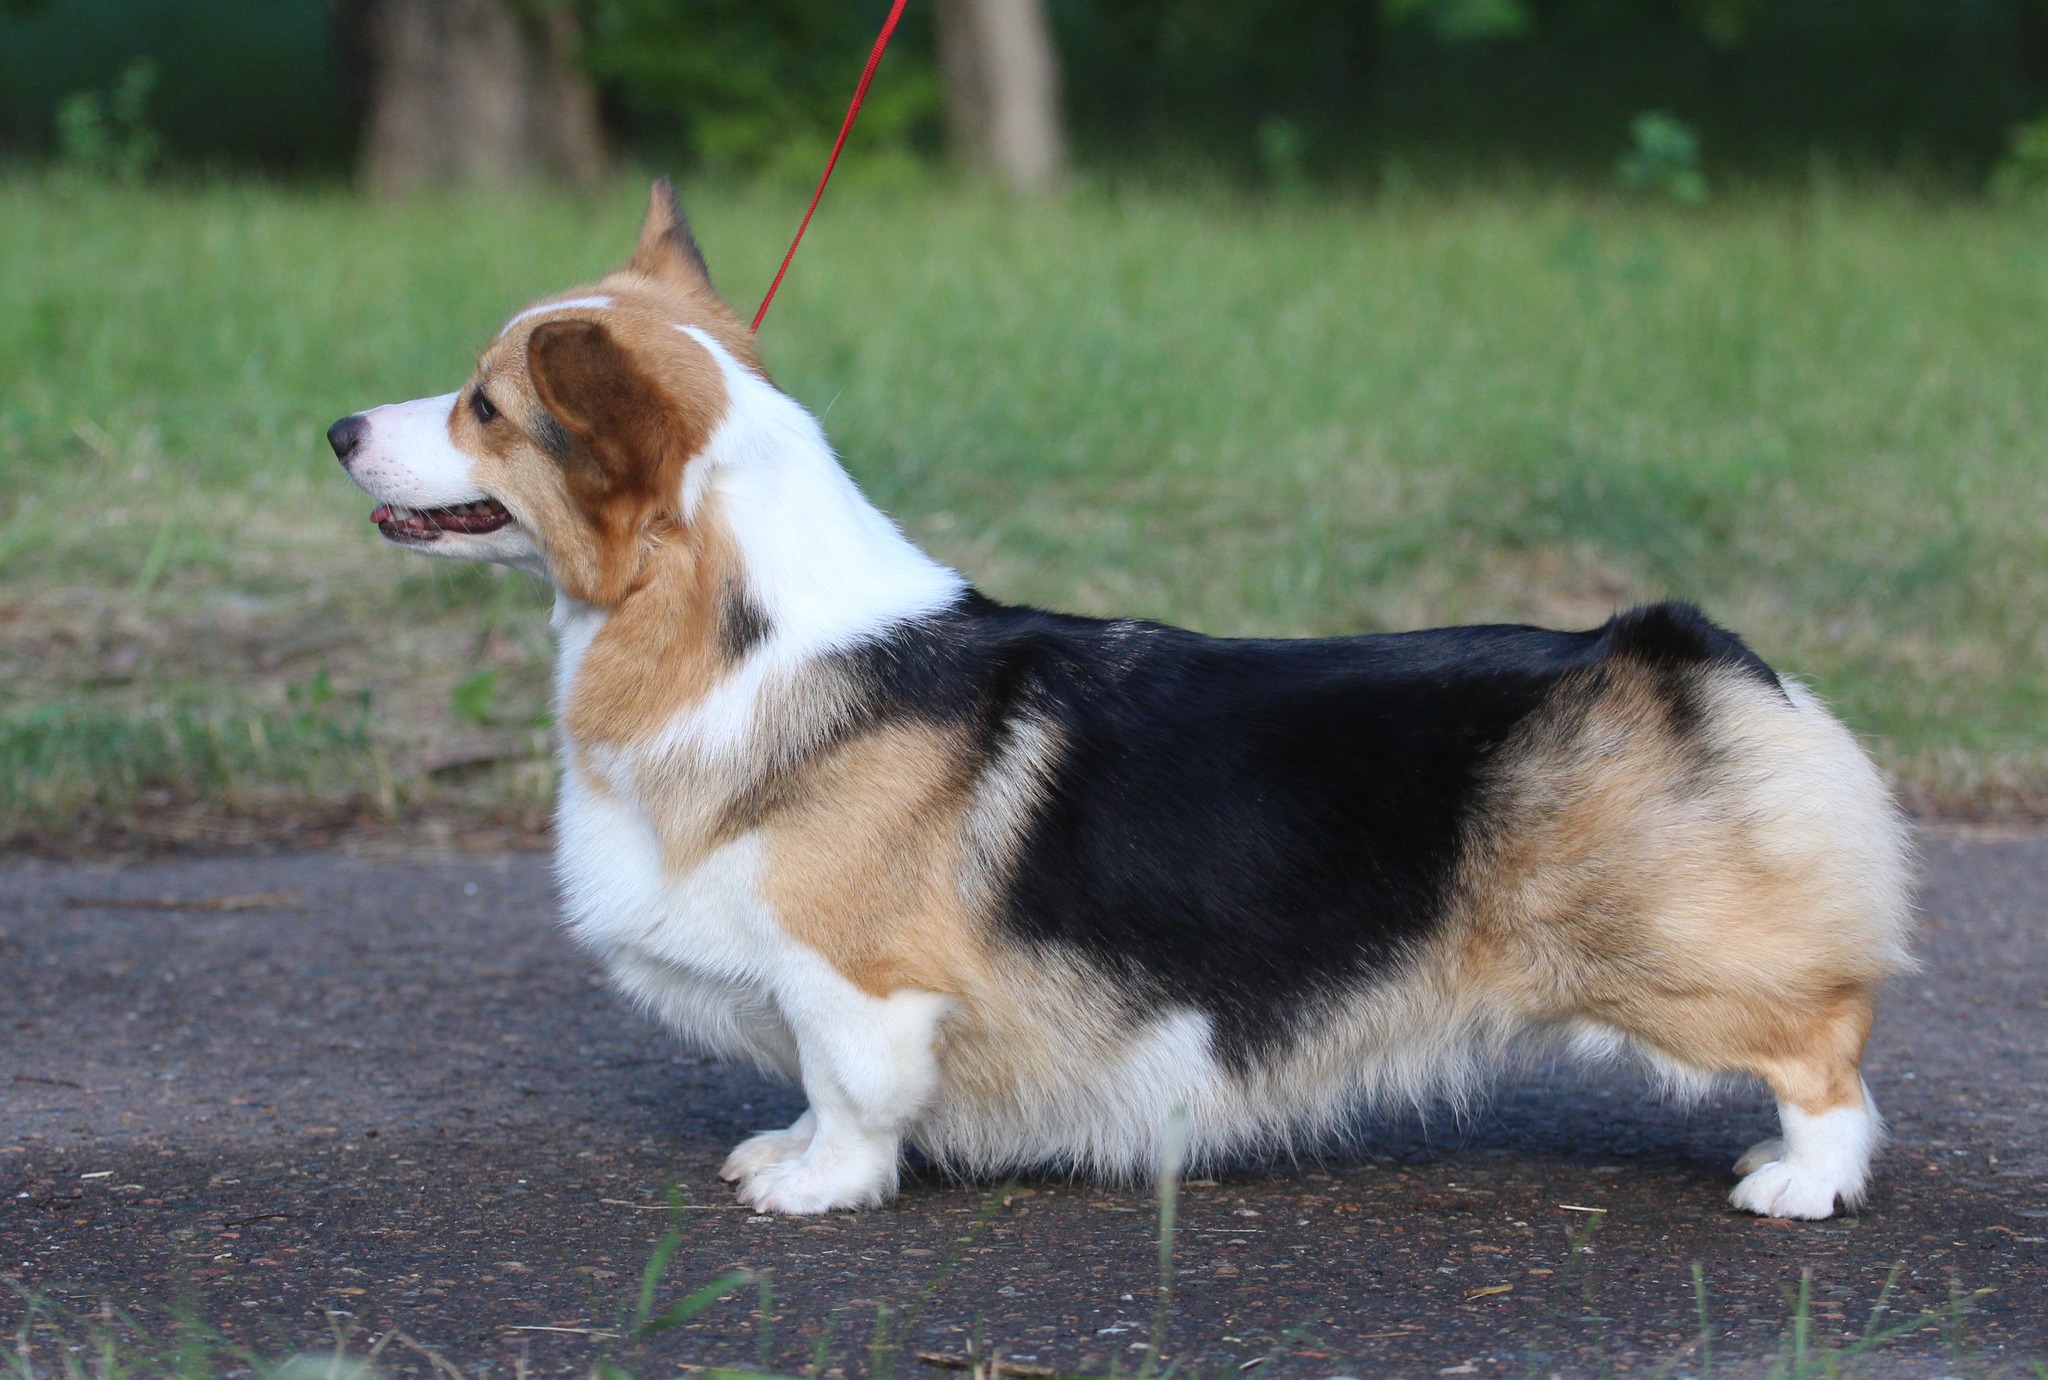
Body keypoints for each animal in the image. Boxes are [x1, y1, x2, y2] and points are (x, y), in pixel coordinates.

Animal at [330, 180, 1913, 1218]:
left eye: (484, 406)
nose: (339, 425)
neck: (732, 634)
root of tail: (1681, 647)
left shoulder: (856, 979)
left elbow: (850, 1091)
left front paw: (817, 1189)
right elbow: (811, 1093)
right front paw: (780, 1154)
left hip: (1676, 959)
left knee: (1826, 1052)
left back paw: (1797, 1184)